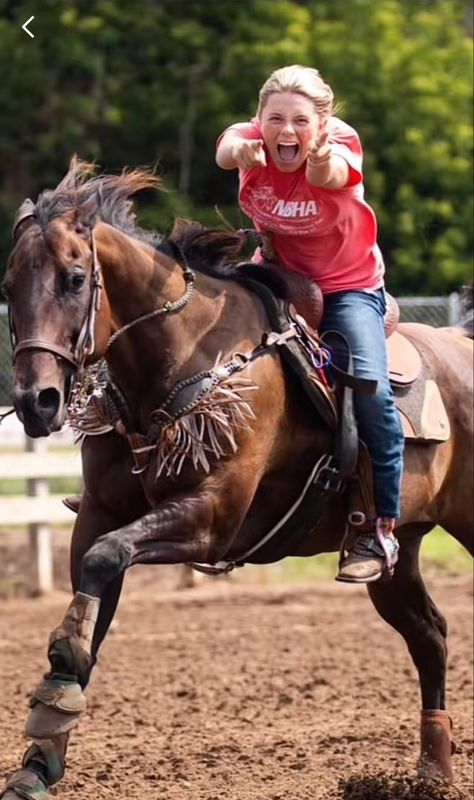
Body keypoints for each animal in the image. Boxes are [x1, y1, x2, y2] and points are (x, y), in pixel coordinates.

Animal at [0, 159, 474, 796]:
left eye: (76, 279)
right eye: (8, 288)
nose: (38, 402)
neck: (180, 354)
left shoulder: (211, 517)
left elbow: (105, 562)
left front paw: (61, 675)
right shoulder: (100, 513)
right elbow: (95, 588)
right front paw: (40, 759)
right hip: (399, 552)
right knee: (430, 635)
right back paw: (432, 770)